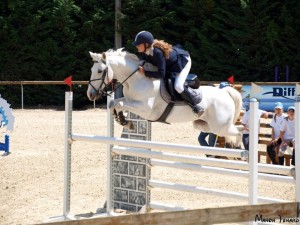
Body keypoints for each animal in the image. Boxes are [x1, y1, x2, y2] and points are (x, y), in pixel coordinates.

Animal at [86, 48, 244, 145]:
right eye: (92, 69)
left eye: (99, 71)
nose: (90, 94)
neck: (137, 79)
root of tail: (224, 92)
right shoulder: (130, 100)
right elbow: (114, 103)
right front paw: (123, 121)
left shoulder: (146, 109)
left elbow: (118, 104)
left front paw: (124, 121)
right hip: (204, 124)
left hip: (221, 126)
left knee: (239, 132)